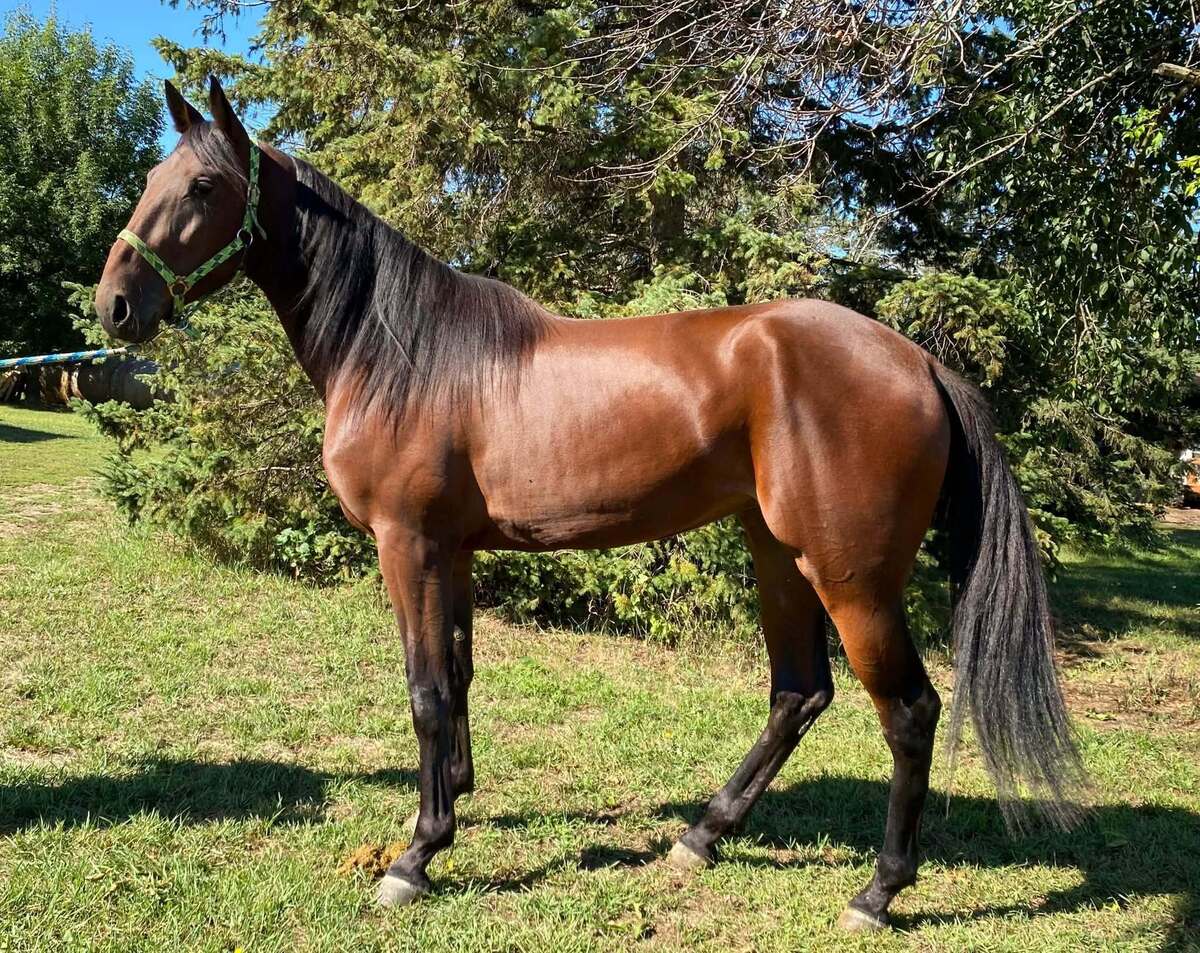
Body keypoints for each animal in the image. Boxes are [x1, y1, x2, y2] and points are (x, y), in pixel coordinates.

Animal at [95, 78, 1083, 932]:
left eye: (205, 185)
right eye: (150, 181)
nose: (115, 305)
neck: (403, 353)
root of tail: (918, 361)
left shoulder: (408, 544)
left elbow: (424, 690)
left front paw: (415, 857)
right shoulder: (454, 550)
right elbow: (458, 678)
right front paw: (454, 805)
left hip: (854, 578)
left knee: (909, 712)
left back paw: (876, 892)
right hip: (777, 554)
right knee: (798, 693)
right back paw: (701, 836)